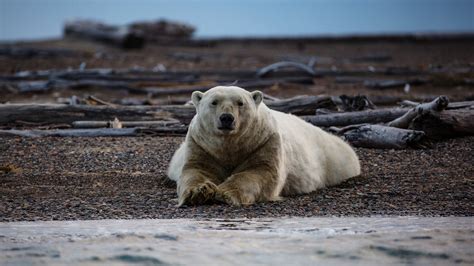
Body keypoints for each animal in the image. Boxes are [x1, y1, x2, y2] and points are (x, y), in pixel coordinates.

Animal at [168, 86, 362, 207]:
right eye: (214, 102)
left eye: (240, 103)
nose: (226, 118)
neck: (229, 144)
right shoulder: (202, 145)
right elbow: (197, 169)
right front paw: (199, 192)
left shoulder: (264, 142)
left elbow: (260, 172)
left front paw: (224, 193)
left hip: (333, 159)